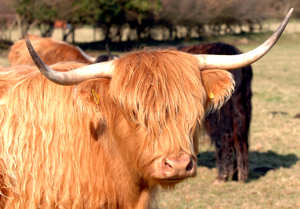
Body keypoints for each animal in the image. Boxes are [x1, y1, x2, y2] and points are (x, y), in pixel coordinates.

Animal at [180, 42, 253, 181]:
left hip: (217, 117)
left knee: (224, 139)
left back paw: (222, 176)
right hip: (242, 108)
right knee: (240, 138)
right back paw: (240, 175)